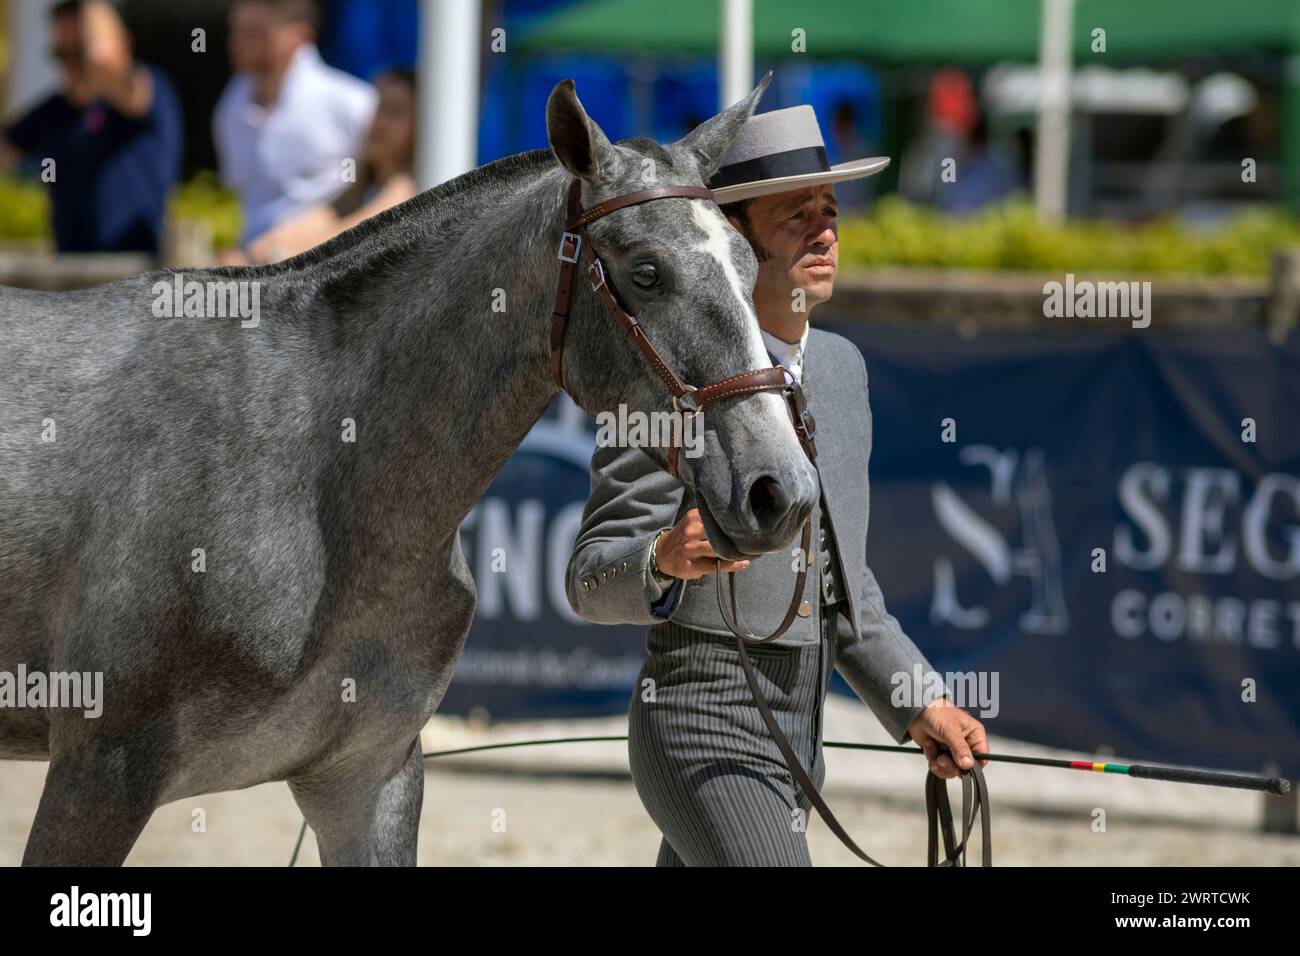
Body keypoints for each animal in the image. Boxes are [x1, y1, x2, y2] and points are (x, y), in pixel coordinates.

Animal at [0, 74, 818, 865]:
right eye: (646, 272)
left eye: (749, 264)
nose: (781, 490)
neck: (311, 475)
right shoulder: (102, 774)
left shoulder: (367, 778)